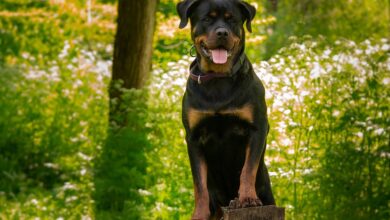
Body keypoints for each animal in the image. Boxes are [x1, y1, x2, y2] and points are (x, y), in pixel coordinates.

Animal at [177, 0, 274, 218]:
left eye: (232, 20)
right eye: (207, 19)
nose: (222, 32)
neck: (218, 78)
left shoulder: (257, 129)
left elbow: (247, 170)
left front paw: (247, 198)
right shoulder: (193, 138)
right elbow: (199, 185)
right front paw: (199, 214)